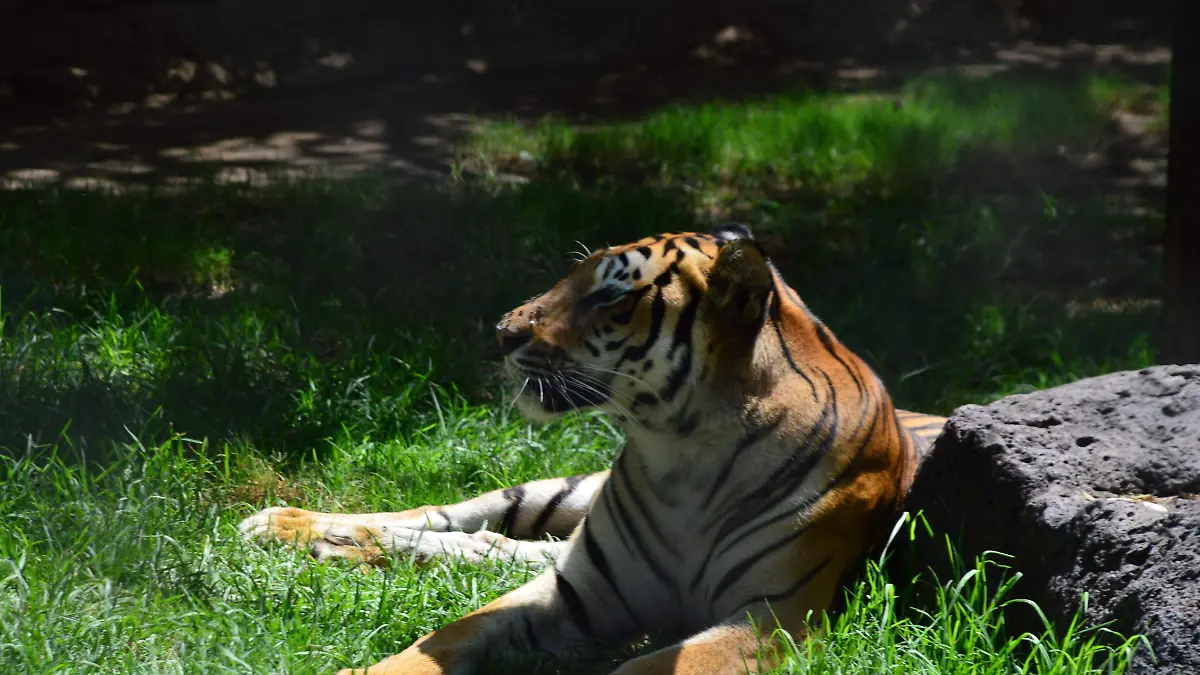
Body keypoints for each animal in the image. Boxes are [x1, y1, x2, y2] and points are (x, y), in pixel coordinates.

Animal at [236, 223, 945, 667]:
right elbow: (438, 640)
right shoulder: (573, 593)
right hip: (556, 494)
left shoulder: (774, 620)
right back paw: (281, 525)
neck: (683, 453)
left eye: (609, 293)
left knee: (491, 546)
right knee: (446, 519)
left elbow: (637, 669)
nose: (502, 332)